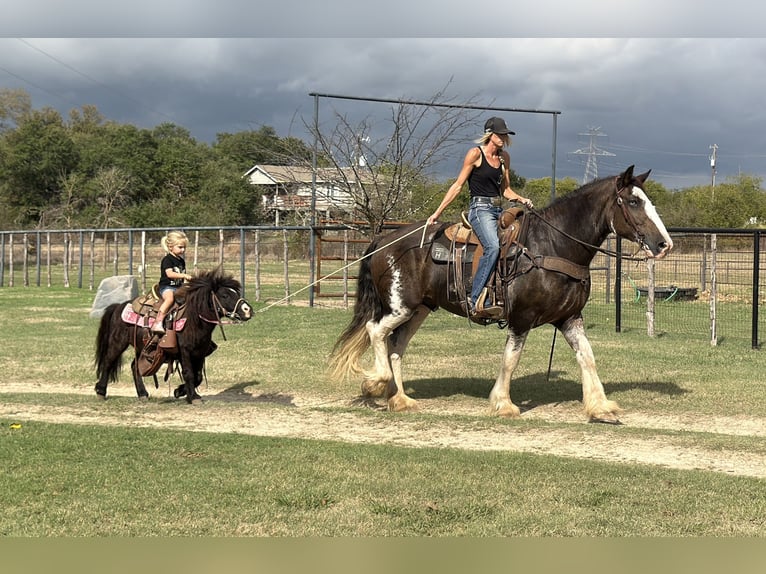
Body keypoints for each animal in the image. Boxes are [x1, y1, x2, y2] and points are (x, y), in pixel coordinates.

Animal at [94, 267, 253, 404]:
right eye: (225, 295)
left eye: (236, 293)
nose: (248, 310)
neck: (193, 318)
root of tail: (118, 306)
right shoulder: (184, 351)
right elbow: (189, 372)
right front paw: (193, 397)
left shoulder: (200, 352)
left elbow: (198, 375)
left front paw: (180, 391)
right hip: (118, 342)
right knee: (108, 361)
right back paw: (101, 391)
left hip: (141, 346)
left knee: (135, 366)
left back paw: (143, 394)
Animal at [328, 165, 673, 423]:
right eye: (633, 202)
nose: (664, 244)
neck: (551, 245)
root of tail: (384, 241)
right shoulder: (521, 317)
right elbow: (511, 359)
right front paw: (503, 404)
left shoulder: (570, 318)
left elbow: (587, 357)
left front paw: (600, 407)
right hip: (400, 306)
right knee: (375, 331)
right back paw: (376, 382)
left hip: (420, 309)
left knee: (396, 345)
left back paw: (399, 399)